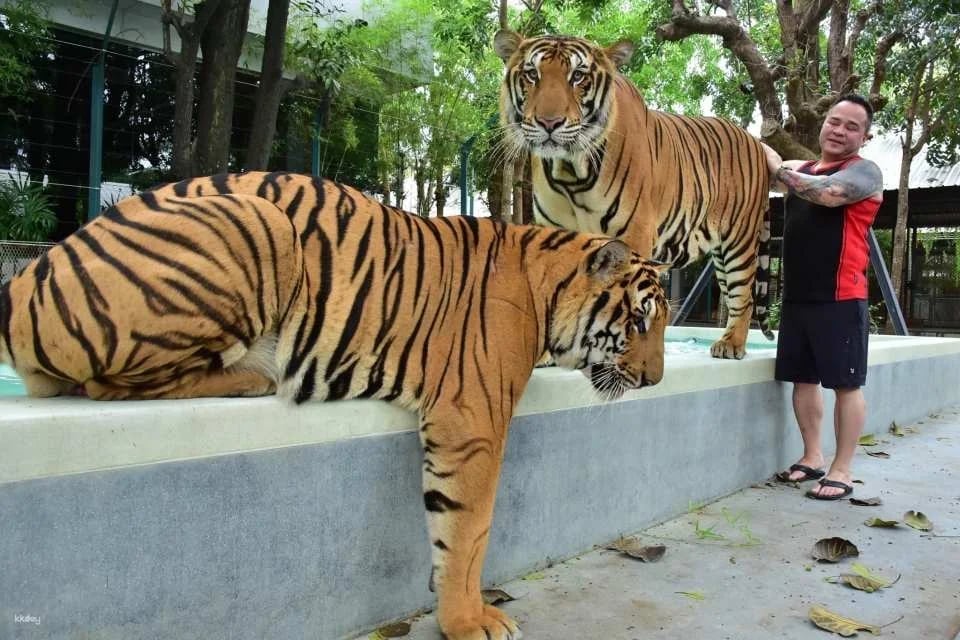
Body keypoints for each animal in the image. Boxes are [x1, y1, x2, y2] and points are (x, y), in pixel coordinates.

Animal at [135, 170, 671, 640]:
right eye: (639, 322)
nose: (654, 380)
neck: (546, 295)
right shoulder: (472, 422)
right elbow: (469, 530)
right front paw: (468, 622)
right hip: (249, 240)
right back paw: (256, 374)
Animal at [494, 28, 774, 359]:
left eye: (578, 76)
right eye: (531, 74)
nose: (549, 123)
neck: (570, 171)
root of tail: (756, 142)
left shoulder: (635, 232)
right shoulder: (556, 231)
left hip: (739, 241)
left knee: (743, 294)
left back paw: (731, 344)